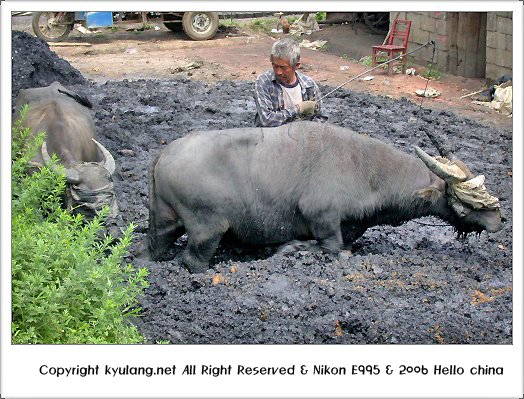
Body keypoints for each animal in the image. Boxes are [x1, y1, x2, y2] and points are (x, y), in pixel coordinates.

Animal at [148, 120, 504, 274]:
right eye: (462, 203)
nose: (498, 221)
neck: (367, 170)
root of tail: (164, 154)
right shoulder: (323, 220)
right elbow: (336, 251)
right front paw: (289, 250)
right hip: (207, 231)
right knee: (192, 261)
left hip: (165, 225)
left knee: (148, 249)